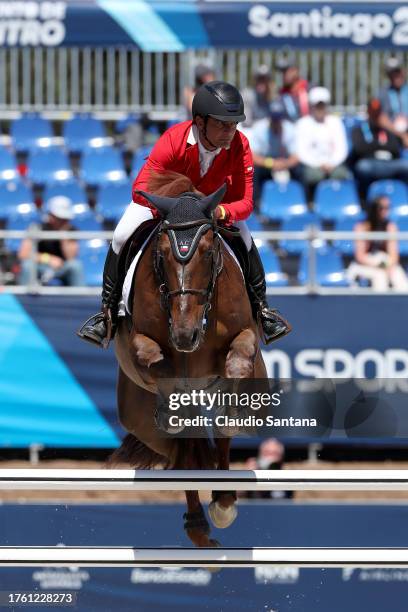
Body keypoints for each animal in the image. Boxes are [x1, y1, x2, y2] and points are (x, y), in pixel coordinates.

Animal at [108, 173, 268, 548]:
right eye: (162, 254)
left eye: (209, 252)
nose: (185, 336)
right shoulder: (138, 345)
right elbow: (153, 360)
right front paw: (176, 407)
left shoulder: (245, 336)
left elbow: (237, 362)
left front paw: (231, 413)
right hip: (139, 420)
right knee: (185, 455)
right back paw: (198, 524)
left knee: (212, 444)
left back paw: (222, 504)